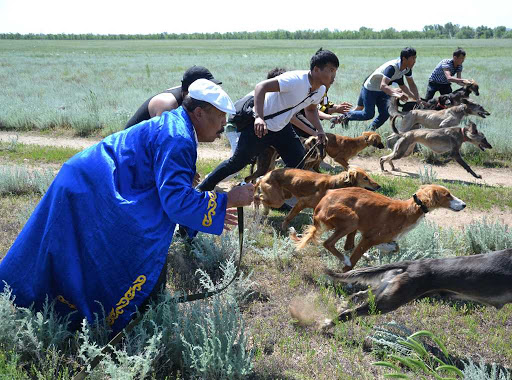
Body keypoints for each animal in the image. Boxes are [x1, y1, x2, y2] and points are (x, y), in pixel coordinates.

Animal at [290, 186, 466, 272]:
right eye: (448, 195)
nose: (464, 205)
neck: (407, 211)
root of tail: (319, 206)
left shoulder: (375, 237)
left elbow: (394, 246)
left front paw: (384, 249)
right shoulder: (369, 238)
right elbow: (353, 262)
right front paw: (346, 274)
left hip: (353, 224)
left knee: (348, 245)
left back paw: (366, 255)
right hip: (352, 219)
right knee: (328, 244)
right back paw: (346, 259)